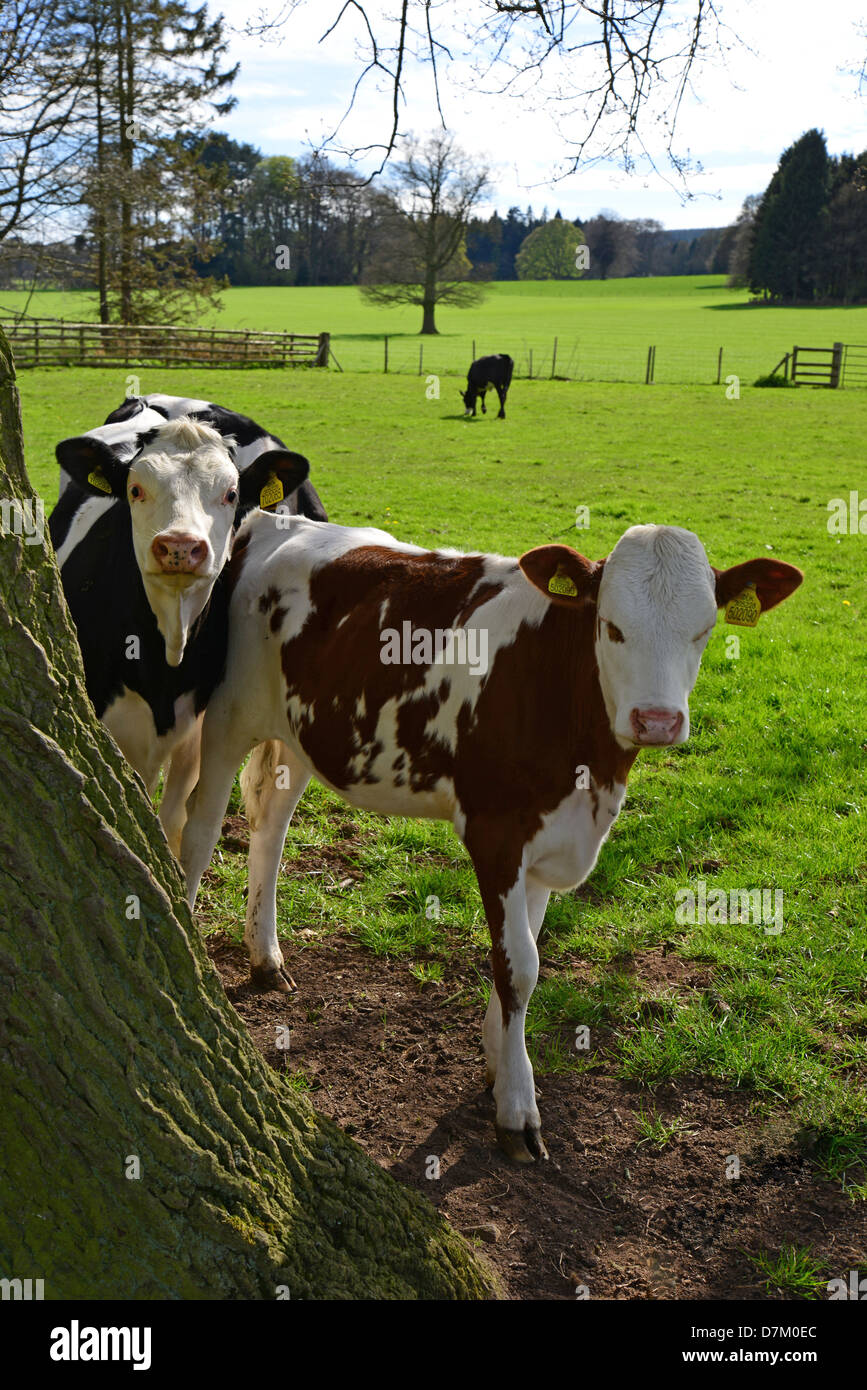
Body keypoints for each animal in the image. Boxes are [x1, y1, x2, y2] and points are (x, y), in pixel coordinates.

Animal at [51, 391, 327, 878]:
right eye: (135, 489)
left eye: (231, 494)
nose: (180, 545)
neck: (166, 654)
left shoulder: (198, 731)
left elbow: (179, 826)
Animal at [179, 517, 800, 1156]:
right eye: (611, 626)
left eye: (703, 631)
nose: (657, 721)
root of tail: (280, 522)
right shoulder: (494, 831)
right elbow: (518, 966)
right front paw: (517, 1108)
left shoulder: (552, 840)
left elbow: (527, 948)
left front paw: (498, 1063)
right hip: (229, 714)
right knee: (201, 829)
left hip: (303, 734)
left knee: (271, 828)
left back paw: (265, 956)